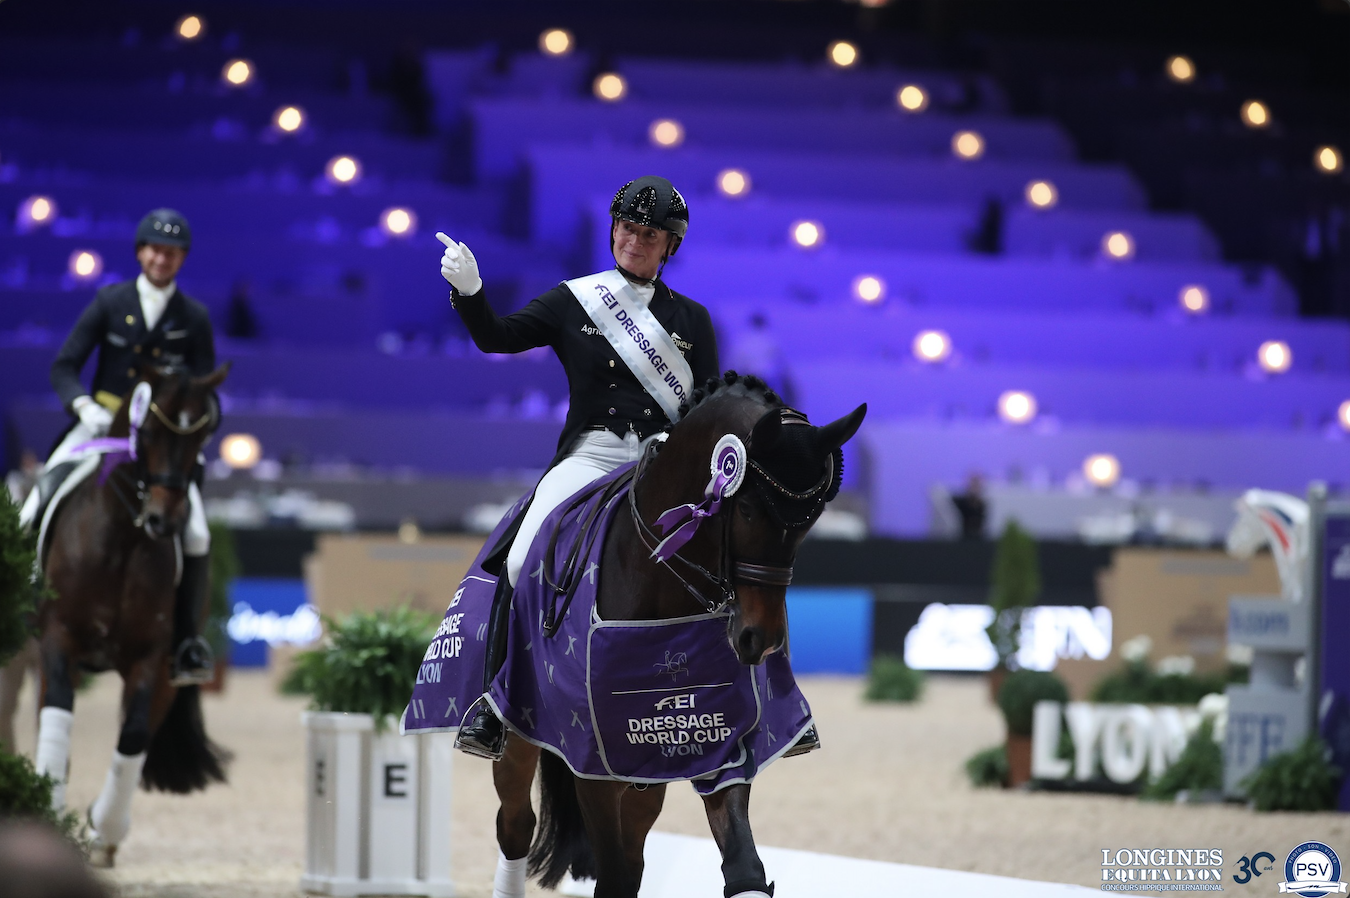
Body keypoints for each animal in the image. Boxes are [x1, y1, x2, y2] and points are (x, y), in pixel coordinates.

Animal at [32, 361, 232, 864]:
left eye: (203, 434)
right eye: (149, 430)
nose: (167, 520)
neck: (122, 538)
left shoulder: (152, 657)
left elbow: (134, 737)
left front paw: (103, 829)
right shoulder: (58, 637)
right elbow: (58, 712)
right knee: (49, 711)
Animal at [496, 370, 864, 896]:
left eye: (810, 521)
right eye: (747, 508)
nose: (760, 640)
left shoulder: (716, 738)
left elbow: (744, 868)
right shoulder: (593, 760)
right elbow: (609, 877)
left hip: (647, 778)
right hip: (518, 730)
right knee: (515, 825)